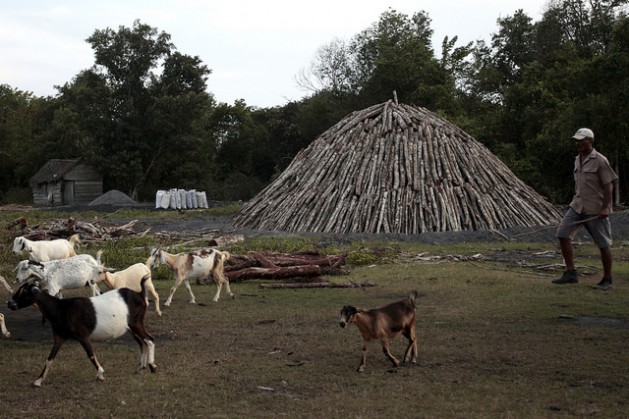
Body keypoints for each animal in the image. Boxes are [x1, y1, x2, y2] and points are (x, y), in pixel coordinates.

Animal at [6, 278, 156, 388]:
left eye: (23, 293)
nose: (9, 303)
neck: (61, 309)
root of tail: (140, 294)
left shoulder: (82, 335)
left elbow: (90, 354)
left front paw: (100, 374)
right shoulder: (59, 337)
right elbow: (50, 358)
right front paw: (38, 381)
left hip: (136, 323)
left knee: (150, 339)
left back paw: (152, 366)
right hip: (131, 328)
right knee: (142, 343)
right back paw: (140, 368)